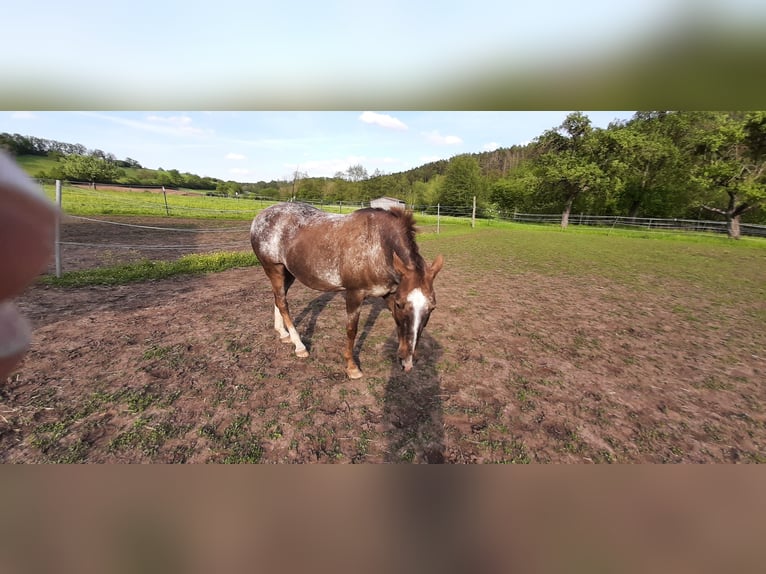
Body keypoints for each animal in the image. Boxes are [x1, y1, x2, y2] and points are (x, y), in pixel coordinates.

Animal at [252, 201, 444, 378]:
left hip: (288, 272)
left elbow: (399, 325)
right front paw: (352, 367)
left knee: (278, 298)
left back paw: (283, 334)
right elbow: (352, 330)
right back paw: (299, 346)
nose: (408, 361)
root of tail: (260, 217)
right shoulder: (354, 294)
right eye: (400, 304)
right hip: (274, 269)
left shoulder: (390, 293)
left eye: (432, 307)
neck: (378, 245)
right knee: (282, 302)